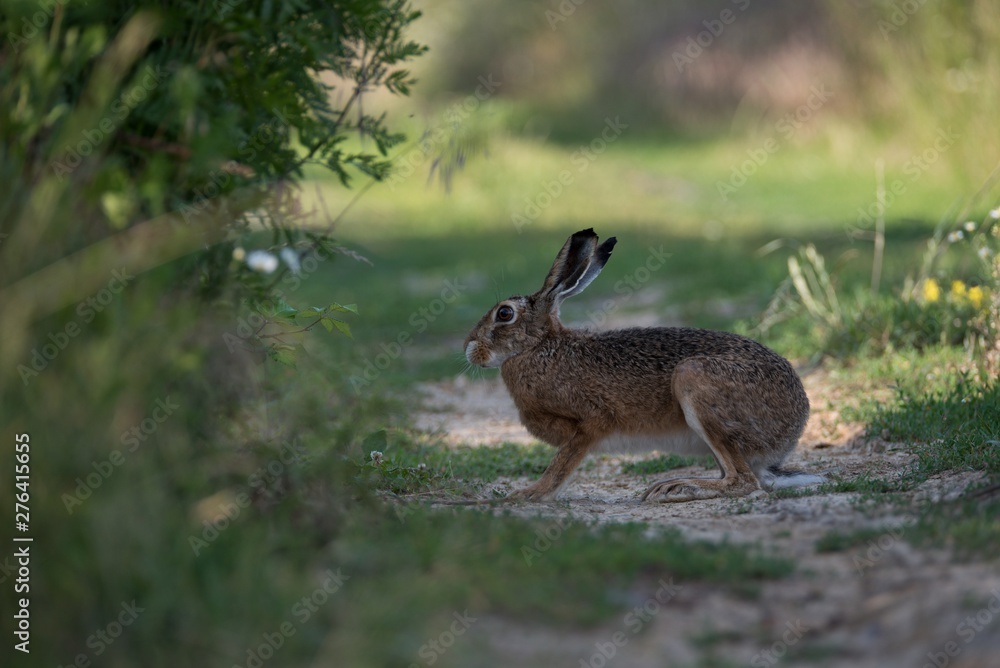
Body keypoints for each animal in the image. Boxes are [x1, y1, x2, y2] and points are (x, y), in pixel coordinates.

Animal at [463, 228, 824, 502]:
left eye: (504, 314)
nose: (469, 348)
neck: (539, 348)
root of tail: (794, 426)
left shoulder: (592, 421)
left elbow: (561, 466)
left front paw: (528, 494)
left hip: (694, 378)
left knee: (743, 481)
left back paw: (676, 488)